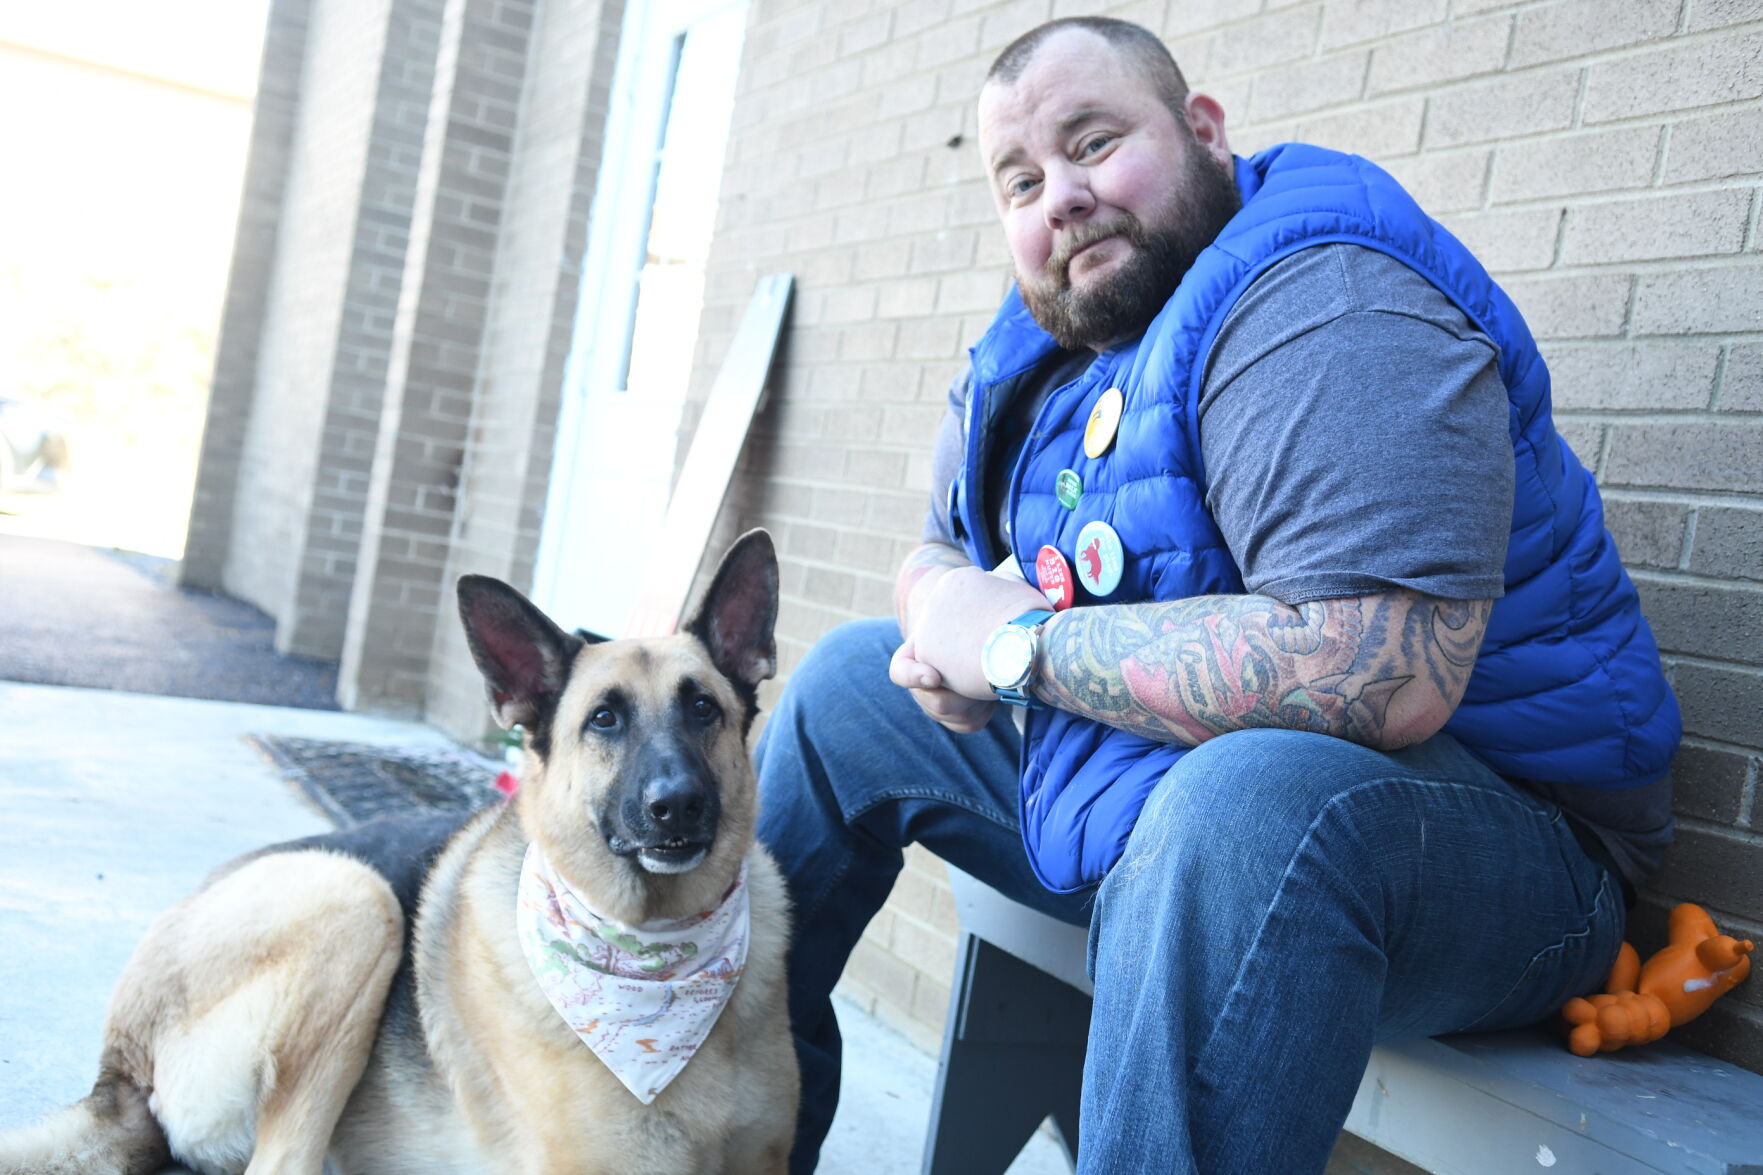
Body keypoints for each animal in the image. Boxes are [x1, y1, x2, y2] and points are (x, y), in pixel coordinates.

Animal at [0, 532, 800, 1171]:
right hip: (353, 898)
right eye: (604, 719)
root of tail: (119, 1072)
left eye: (703, 708)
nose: (679, 803)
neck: (656, 943)